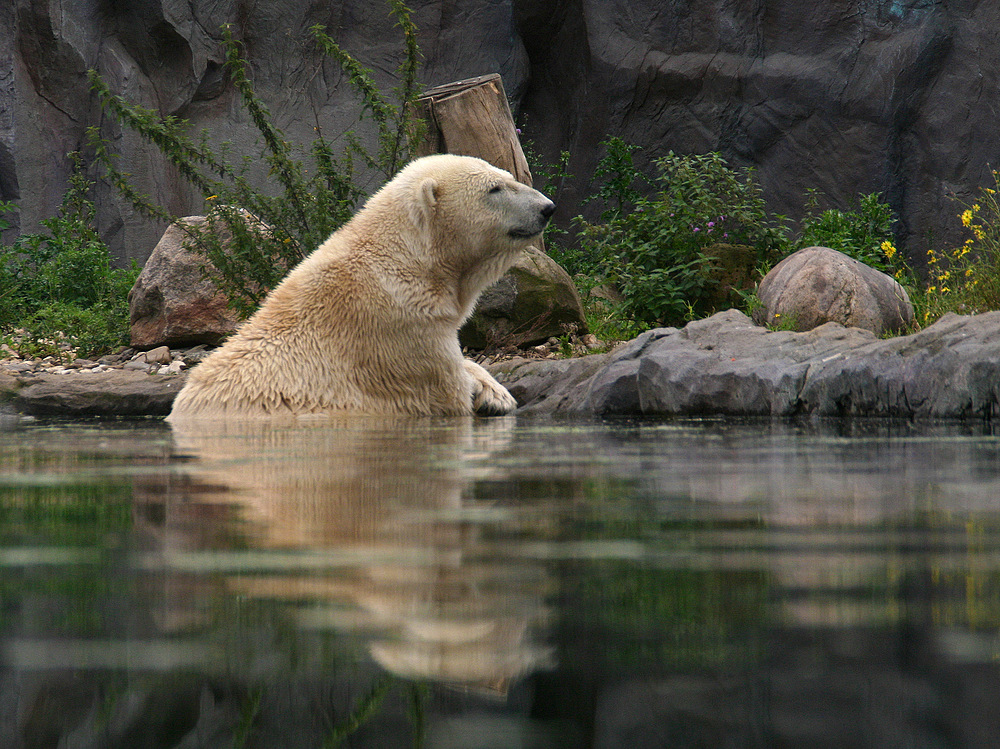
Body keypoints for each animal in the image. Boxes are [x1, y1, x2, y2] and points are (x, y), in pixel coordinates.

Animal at [165, 153, 556, 420]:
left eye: (507, 176)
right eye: (494, 188)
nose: (547, 207)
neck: (405, 262)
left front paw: (496, 393)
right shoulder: (400, 337)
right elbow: (448, 387)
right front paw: (490, 394)